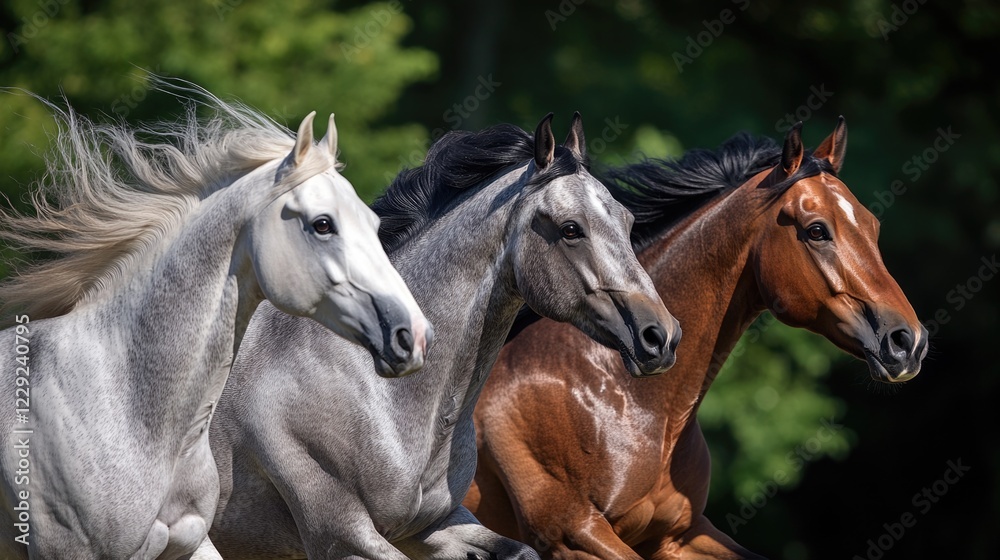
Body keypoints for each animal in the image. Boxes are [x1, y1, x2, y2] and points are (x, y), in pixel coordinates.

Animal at [204, 112, 681, 559]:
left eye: (628, 220)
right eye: (570, 229)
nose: (661, 336)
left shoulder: (435, 527)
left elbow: (520, 550)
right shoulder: (343, 537)